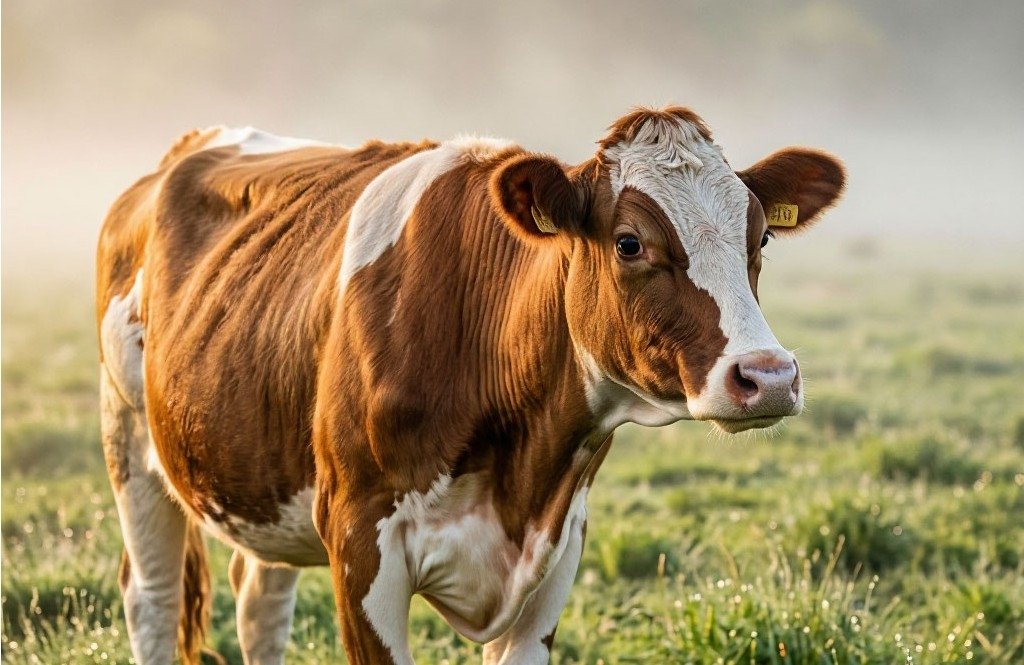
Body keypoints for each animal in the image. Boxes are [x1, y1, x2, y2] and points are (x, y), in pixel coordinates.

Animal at [96, 106, 844, 664]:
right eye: (629, 242)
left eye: (760, 240)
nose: (768, 376)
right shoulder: (359, 541)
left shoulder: (558, 544)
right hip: (130, 439)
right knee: (153, 598)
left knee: (259, 599)